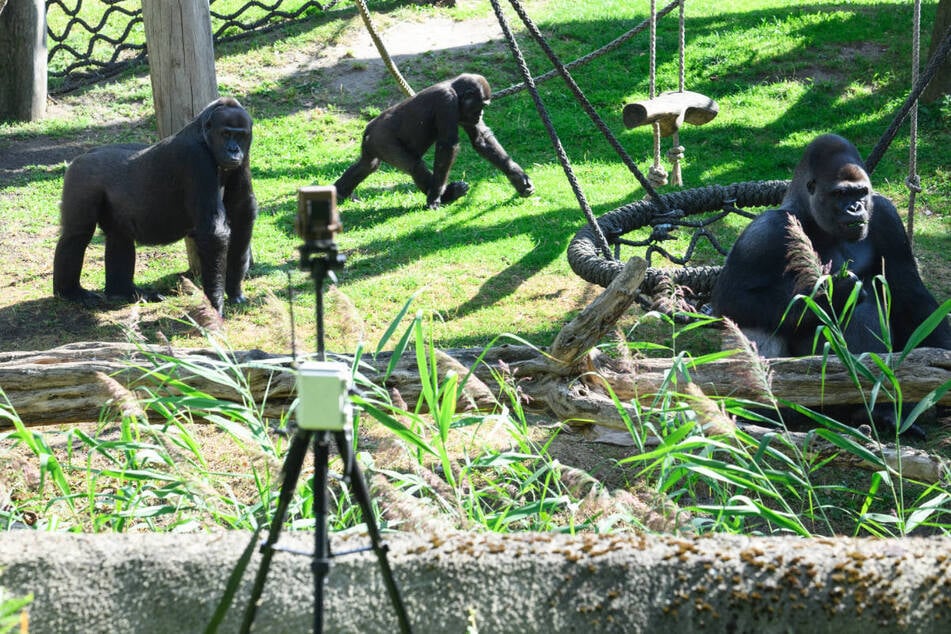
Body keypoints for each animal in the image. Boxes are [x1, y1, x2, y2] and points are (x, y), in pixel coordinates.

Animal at [52, 96, 256, 314]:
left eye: (240, 136)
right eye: (225, 134)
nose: (233, 150)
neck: (203, 134)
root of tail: (83, 155)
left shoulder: (245, 154)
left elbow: (241, 211)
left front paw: (234, 287)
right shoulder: (195, 157)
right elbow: (214, 230)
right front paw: (215, 303)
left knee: (119, 235)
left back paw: (124, 291)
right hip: (81, 176)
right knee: (77, 235)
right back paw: (70, 292)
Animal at [332, 73, 536, 207]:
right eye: (481, 105)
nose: (481, 115)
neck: (455, 89)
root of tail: (367, 130)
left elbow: (481, 140)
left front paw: (518, 178)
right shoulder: (446, 101)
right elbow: (447, 146)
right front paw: (435, 197)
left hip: (372, 145)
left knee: (367, 165)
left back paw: (339, 192)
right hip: (381, 138)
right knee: (415, 166)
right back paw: (447, 195)